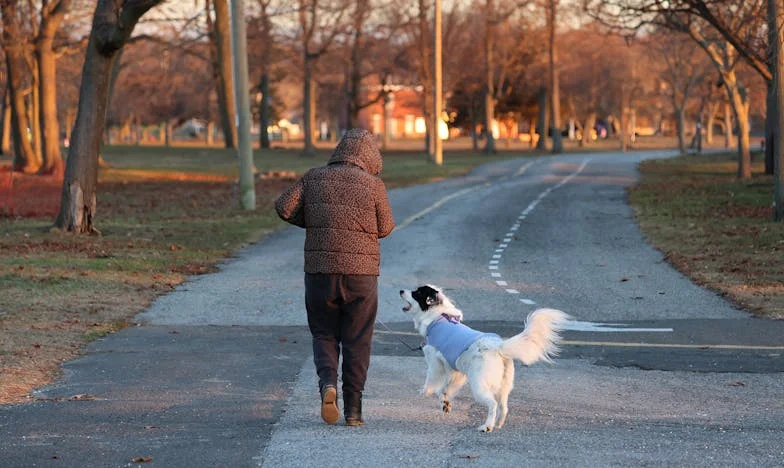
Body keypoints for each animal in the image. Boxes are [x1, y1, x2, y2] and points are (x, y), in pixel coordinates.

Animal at [402, 284, 568, 434]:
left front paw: (426, 391)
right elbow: (446, 389)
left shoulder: (435, 362)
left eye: (417, 293)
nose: (401, 290)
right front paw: (445, 402)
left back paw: (487, 426)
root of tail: (498, 346)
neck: (437, 317)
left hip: (479, 386)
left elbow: (433, 382)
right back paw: (498, 424)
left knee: (492, 404)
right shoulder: (457, 371)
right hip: (504, 386)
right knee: (504, 407)